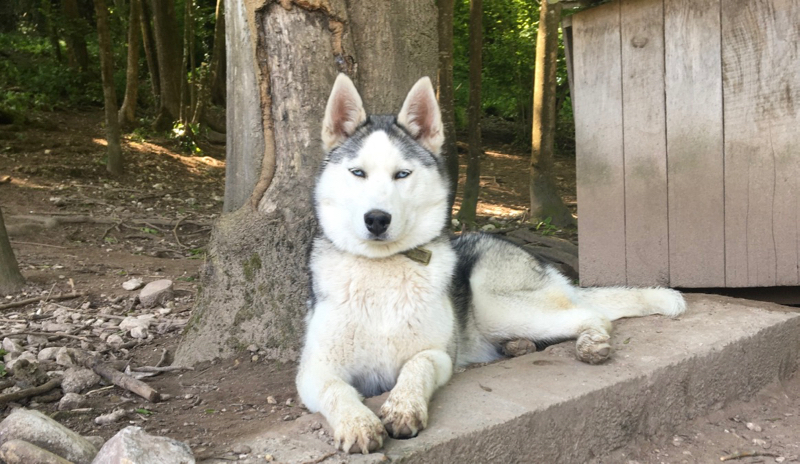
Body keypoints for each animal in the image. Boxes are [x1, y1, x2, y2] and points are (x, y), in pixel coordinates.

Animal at [296, 74, 684, 454]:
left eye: (402, 174)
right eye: (357, 172)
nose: (377, 219)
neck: (382, 270)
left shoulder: (438, 355)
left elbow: (416, 367)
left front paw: (404, 406)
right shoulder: (313, 372)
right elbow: (337, 390)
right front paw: (358, 422)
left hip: (493, 303)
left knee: (593, 316)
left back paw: (589, 343)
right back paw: (519, 347)